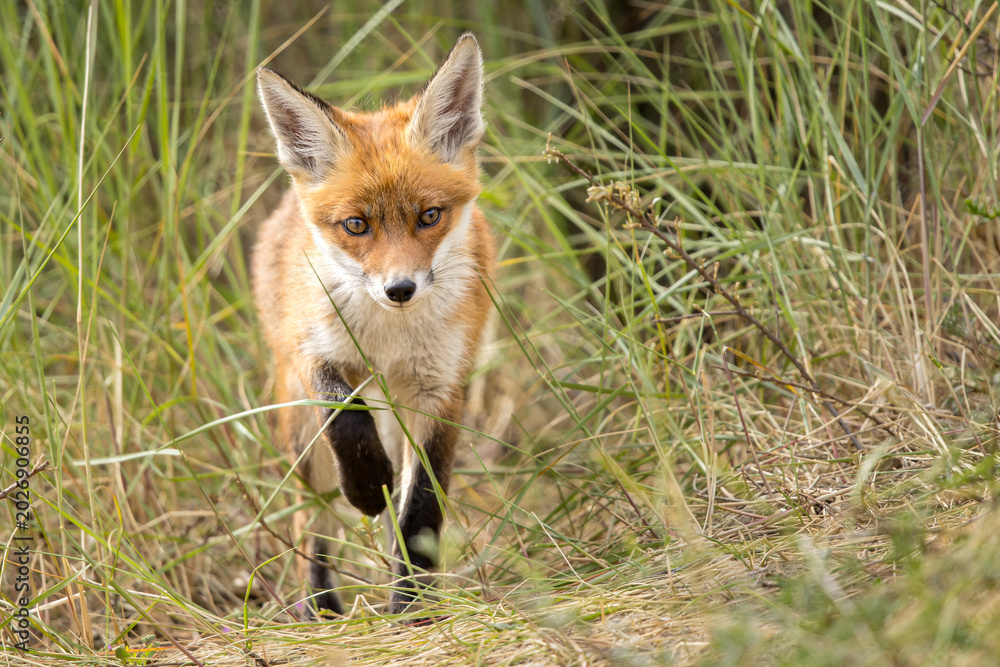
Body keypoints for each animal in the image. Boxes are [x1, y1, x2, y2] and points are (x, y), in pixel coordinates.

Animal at [252, 33, 494, 617]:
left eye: (429, 216)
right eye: (356, 225)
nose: (399, 289)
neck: (389, 340)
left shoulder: (440, 387)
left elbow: (421, 508)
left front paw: (412, 602)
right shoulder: (312, 353)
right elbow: (344, 415)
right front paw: (365, 485)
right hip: (299, 430)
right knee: (310, 516)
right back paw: (319, 603)